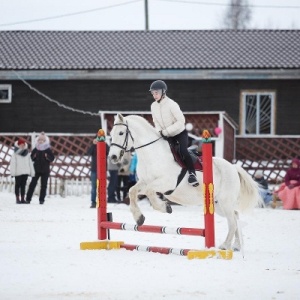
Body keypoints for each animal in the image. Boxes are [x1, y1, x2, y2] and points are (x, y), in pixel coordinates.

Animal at [108, 113, 262, 250]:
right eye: (111, 133)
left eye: (121, 133)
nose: (113, 157)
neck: (152, 155)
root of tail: (233, 167)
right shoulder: (144, 182)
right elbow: (132, 191)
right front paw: (139, 218)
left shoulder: (166, 183)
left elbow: (150, 191)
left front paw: (165, 207)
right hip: (218, 205)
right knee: (235, 217)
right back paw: (236, 245)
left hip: (225, 202)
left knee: (232, 221)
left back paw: (224, 246)